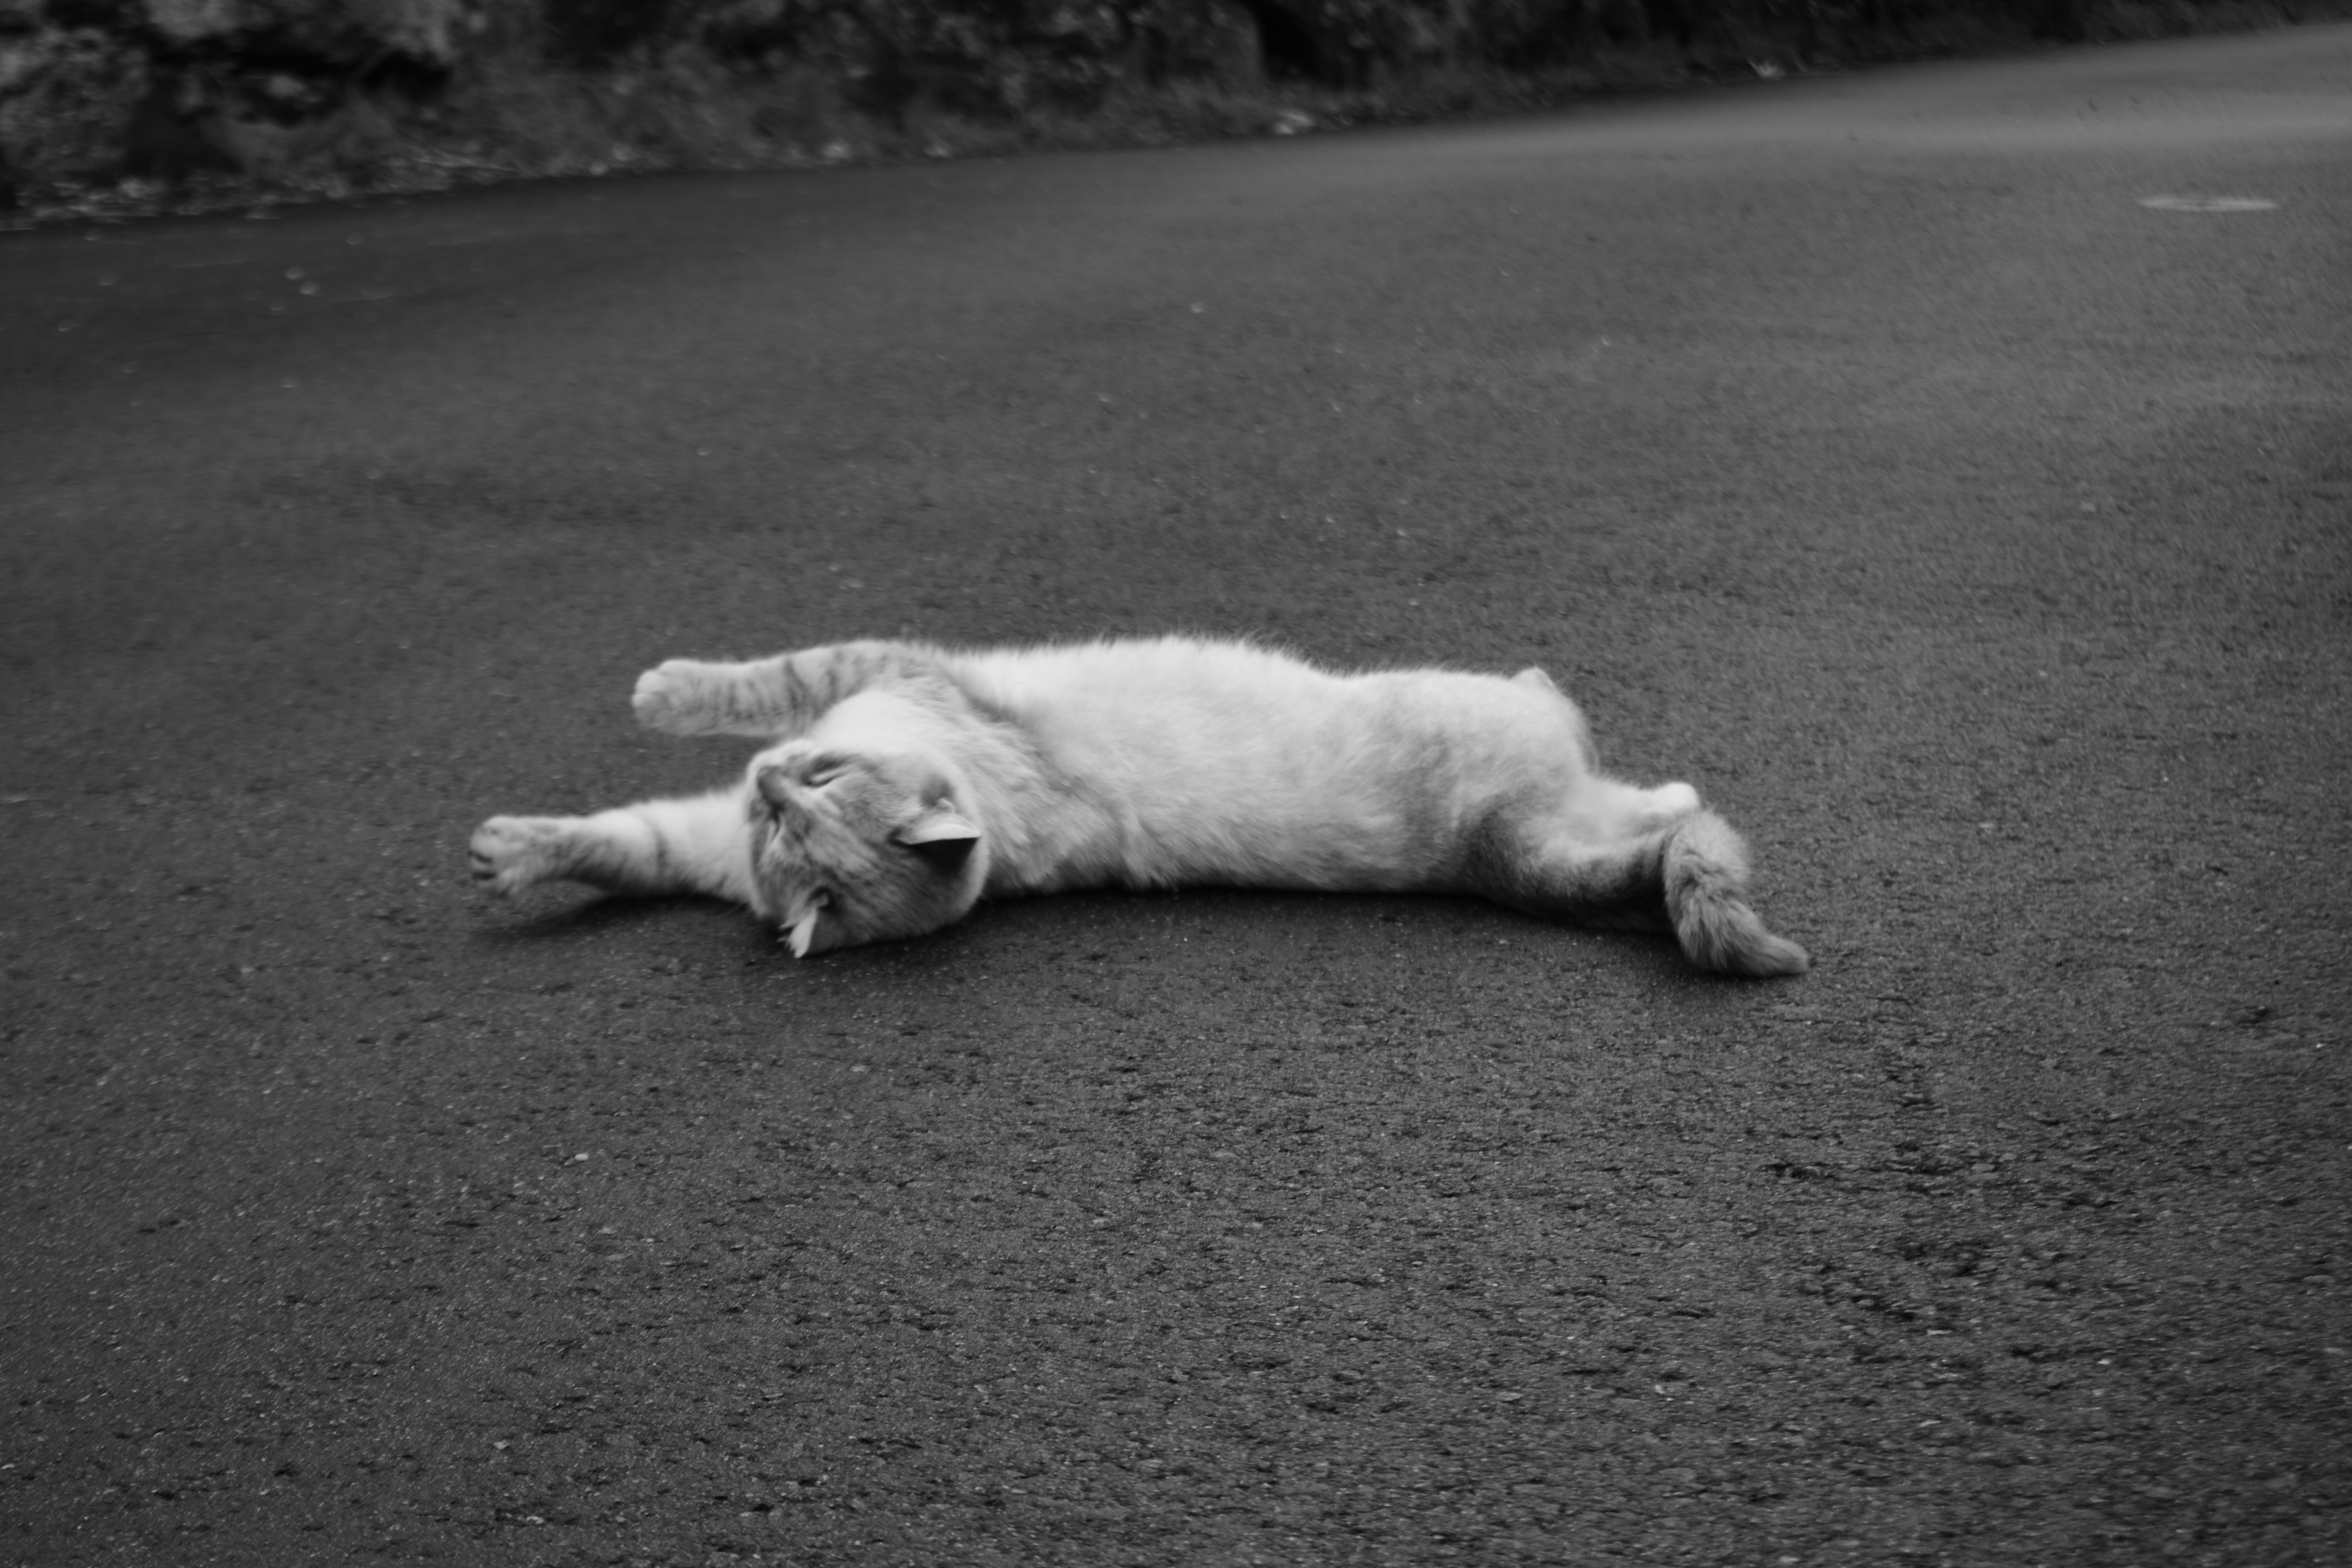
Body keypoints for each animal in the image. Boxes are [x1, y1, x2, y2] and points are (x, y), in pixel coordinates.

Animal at [469, 636, 1809, 977]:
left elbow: (761, 681)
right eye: (777, 830)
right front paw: (523, 854)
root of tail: (1487, 853)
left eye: (824, 790)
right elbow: (627, 839)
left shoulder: (882, 668)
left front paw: (663, 691)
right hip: (1568, 821)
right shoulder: (703, 841)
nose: (765, 784)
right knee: (1660, 815)